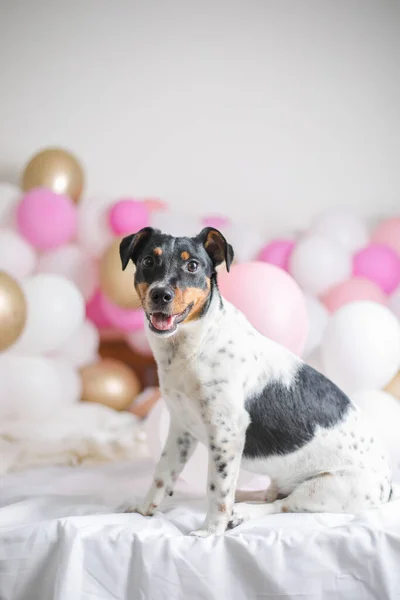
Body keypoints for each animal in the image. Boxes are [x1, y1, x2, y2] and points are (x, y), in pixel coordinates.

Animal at [120, 227, 392, 536]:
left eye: (193, 266)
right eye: (148, 262)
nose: (160, 294)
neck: (195, 344)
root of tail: (388, 488)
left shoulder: (226, 434)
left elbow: (217, 491)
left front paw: (211, 531)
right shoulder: (181, 428)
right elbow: (162, 475)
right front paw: (144, 510)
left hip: (326, 487)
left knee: (281, 505)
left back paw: (242, 513)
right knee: (271, 494)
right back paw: (245, 495)